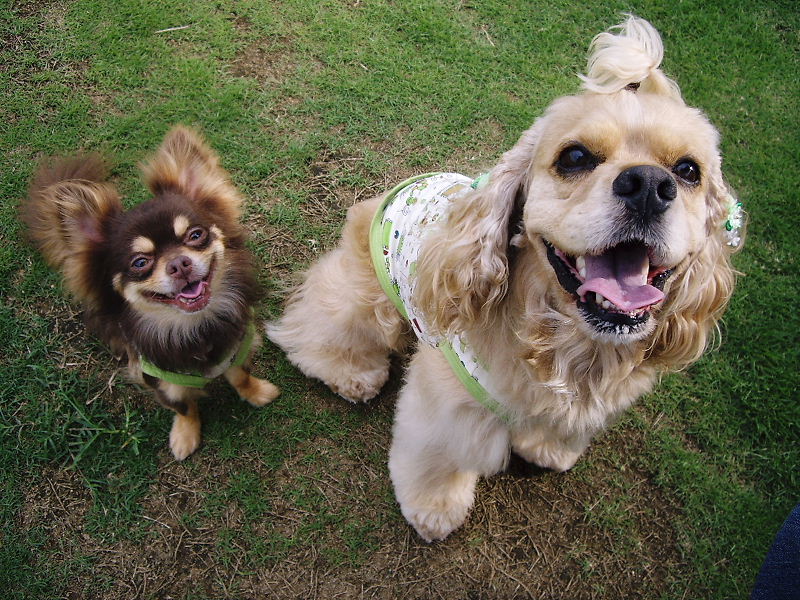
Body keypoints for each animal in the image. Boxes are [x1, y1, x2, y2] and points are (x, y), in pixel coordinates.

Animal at [23, 126, 280, 461]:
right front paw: (185, 435)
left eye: (195, 235)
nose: (179, 264)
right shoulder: (159, 380)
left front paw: (257, 392)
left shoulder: (237, 347)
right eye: (140, 262)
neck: (194, 329)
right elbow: (183, 406)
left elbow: (240, 375)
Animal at [267, 16, 744, 541]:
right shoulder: (446, 399)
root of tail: (387, 195)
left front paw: (549, 449)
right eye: (575, 157)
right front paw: (434, 510)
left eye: (688, 170)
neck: (564, 341)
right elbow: (437, 455)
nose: (649, 186)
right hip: (363, 300)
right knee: (312, 328)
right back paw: (354, 375)